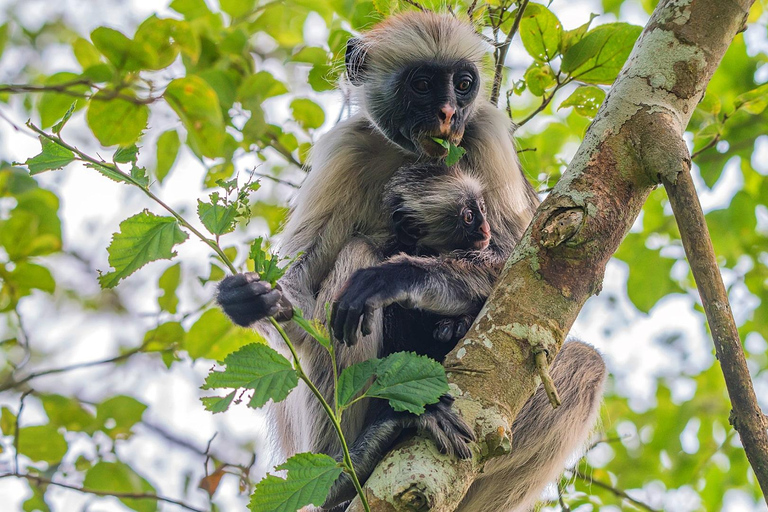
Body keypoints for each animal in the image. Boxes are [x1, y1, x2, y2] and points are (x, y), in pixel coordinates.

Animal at [218, 10, 608, 510]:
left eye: (463, 84)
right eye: (422, 85)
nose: (448, 113)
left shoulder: (487, 133)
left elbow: (529, 266)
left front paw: (403, 277)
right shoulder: (347, 146)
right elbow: (301, 300)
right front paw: (257, 298)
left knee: (584, 365)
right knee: (354, 262)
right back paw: (347, 468)